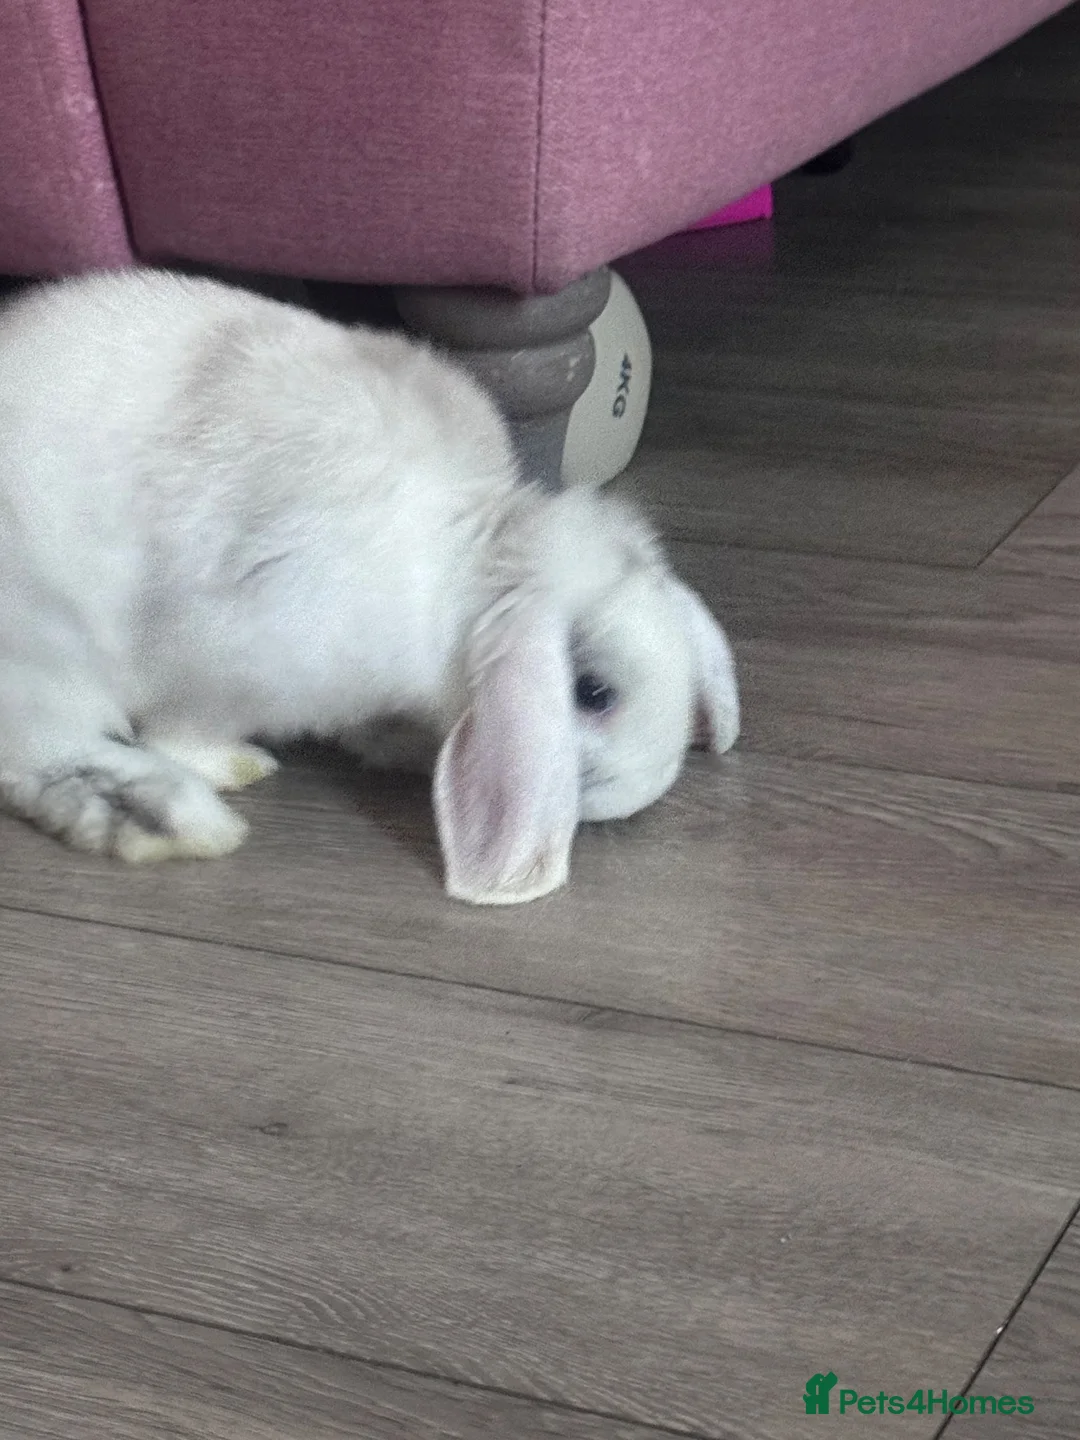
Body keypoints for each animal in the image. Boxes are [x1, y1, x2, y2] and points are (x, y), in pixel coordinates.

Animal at [0, 268, 739, 905]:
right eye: (593, 692)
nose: (634, 784)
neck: (467, 569)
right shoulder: (229, 663)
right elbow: (184, 731)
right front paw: (242, 765)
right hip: (50, 651)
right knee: (40, 755)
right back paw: (169, 818)